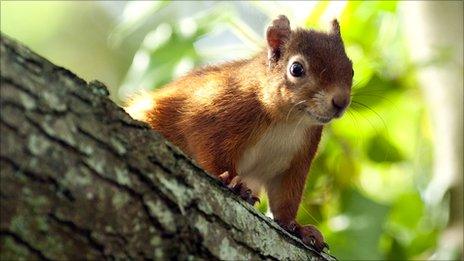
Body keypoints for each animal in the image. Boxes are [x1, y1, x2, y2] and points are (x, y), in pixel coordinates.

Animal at [125, 15, 354, 251]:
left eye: (351, 67)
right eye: (296, 69)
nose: (340, 102)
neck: (288, 121)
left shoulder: (296, 161)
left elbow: (285, 198)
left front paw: (297, 228)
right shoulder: (215, 113)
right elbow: (209, 149)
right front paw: (232, 182)